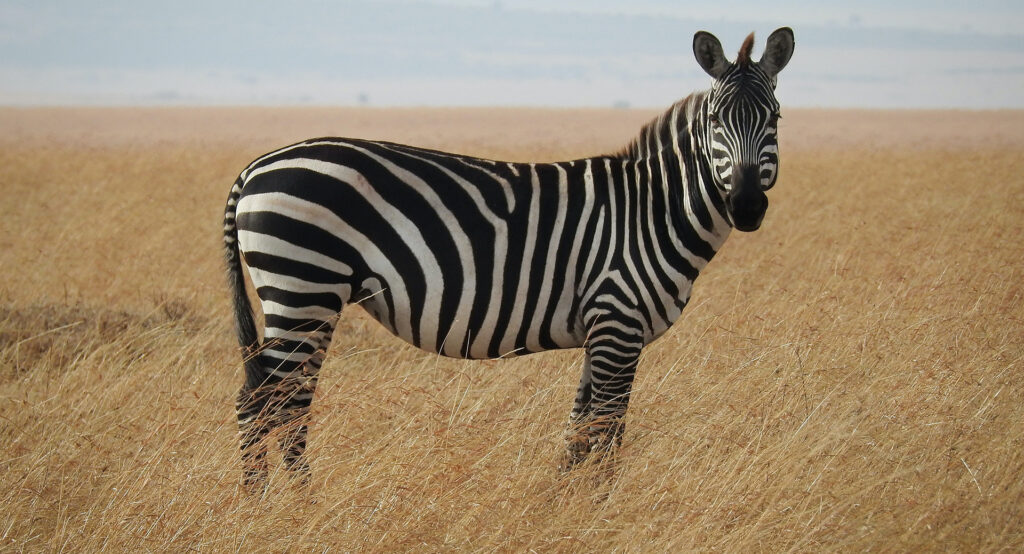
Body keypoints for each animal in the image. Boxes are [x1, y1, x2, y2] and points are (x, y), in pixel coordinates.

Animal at [224, 28, 794, 488]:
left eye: (775, 118)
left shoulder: (600, 330)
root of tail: (256, 166)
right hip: (304, 287)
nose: (746, 206)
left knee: (277, 402)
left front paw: (561, 505)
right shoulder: (618, 321)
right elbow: (608, 431)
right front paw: (602, 507)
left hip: (308, 298)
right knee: (268, 404)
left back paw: (276, 503)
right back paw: (284, 507)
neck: (652, 210)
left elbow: (578, 431)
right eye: (716, 120)